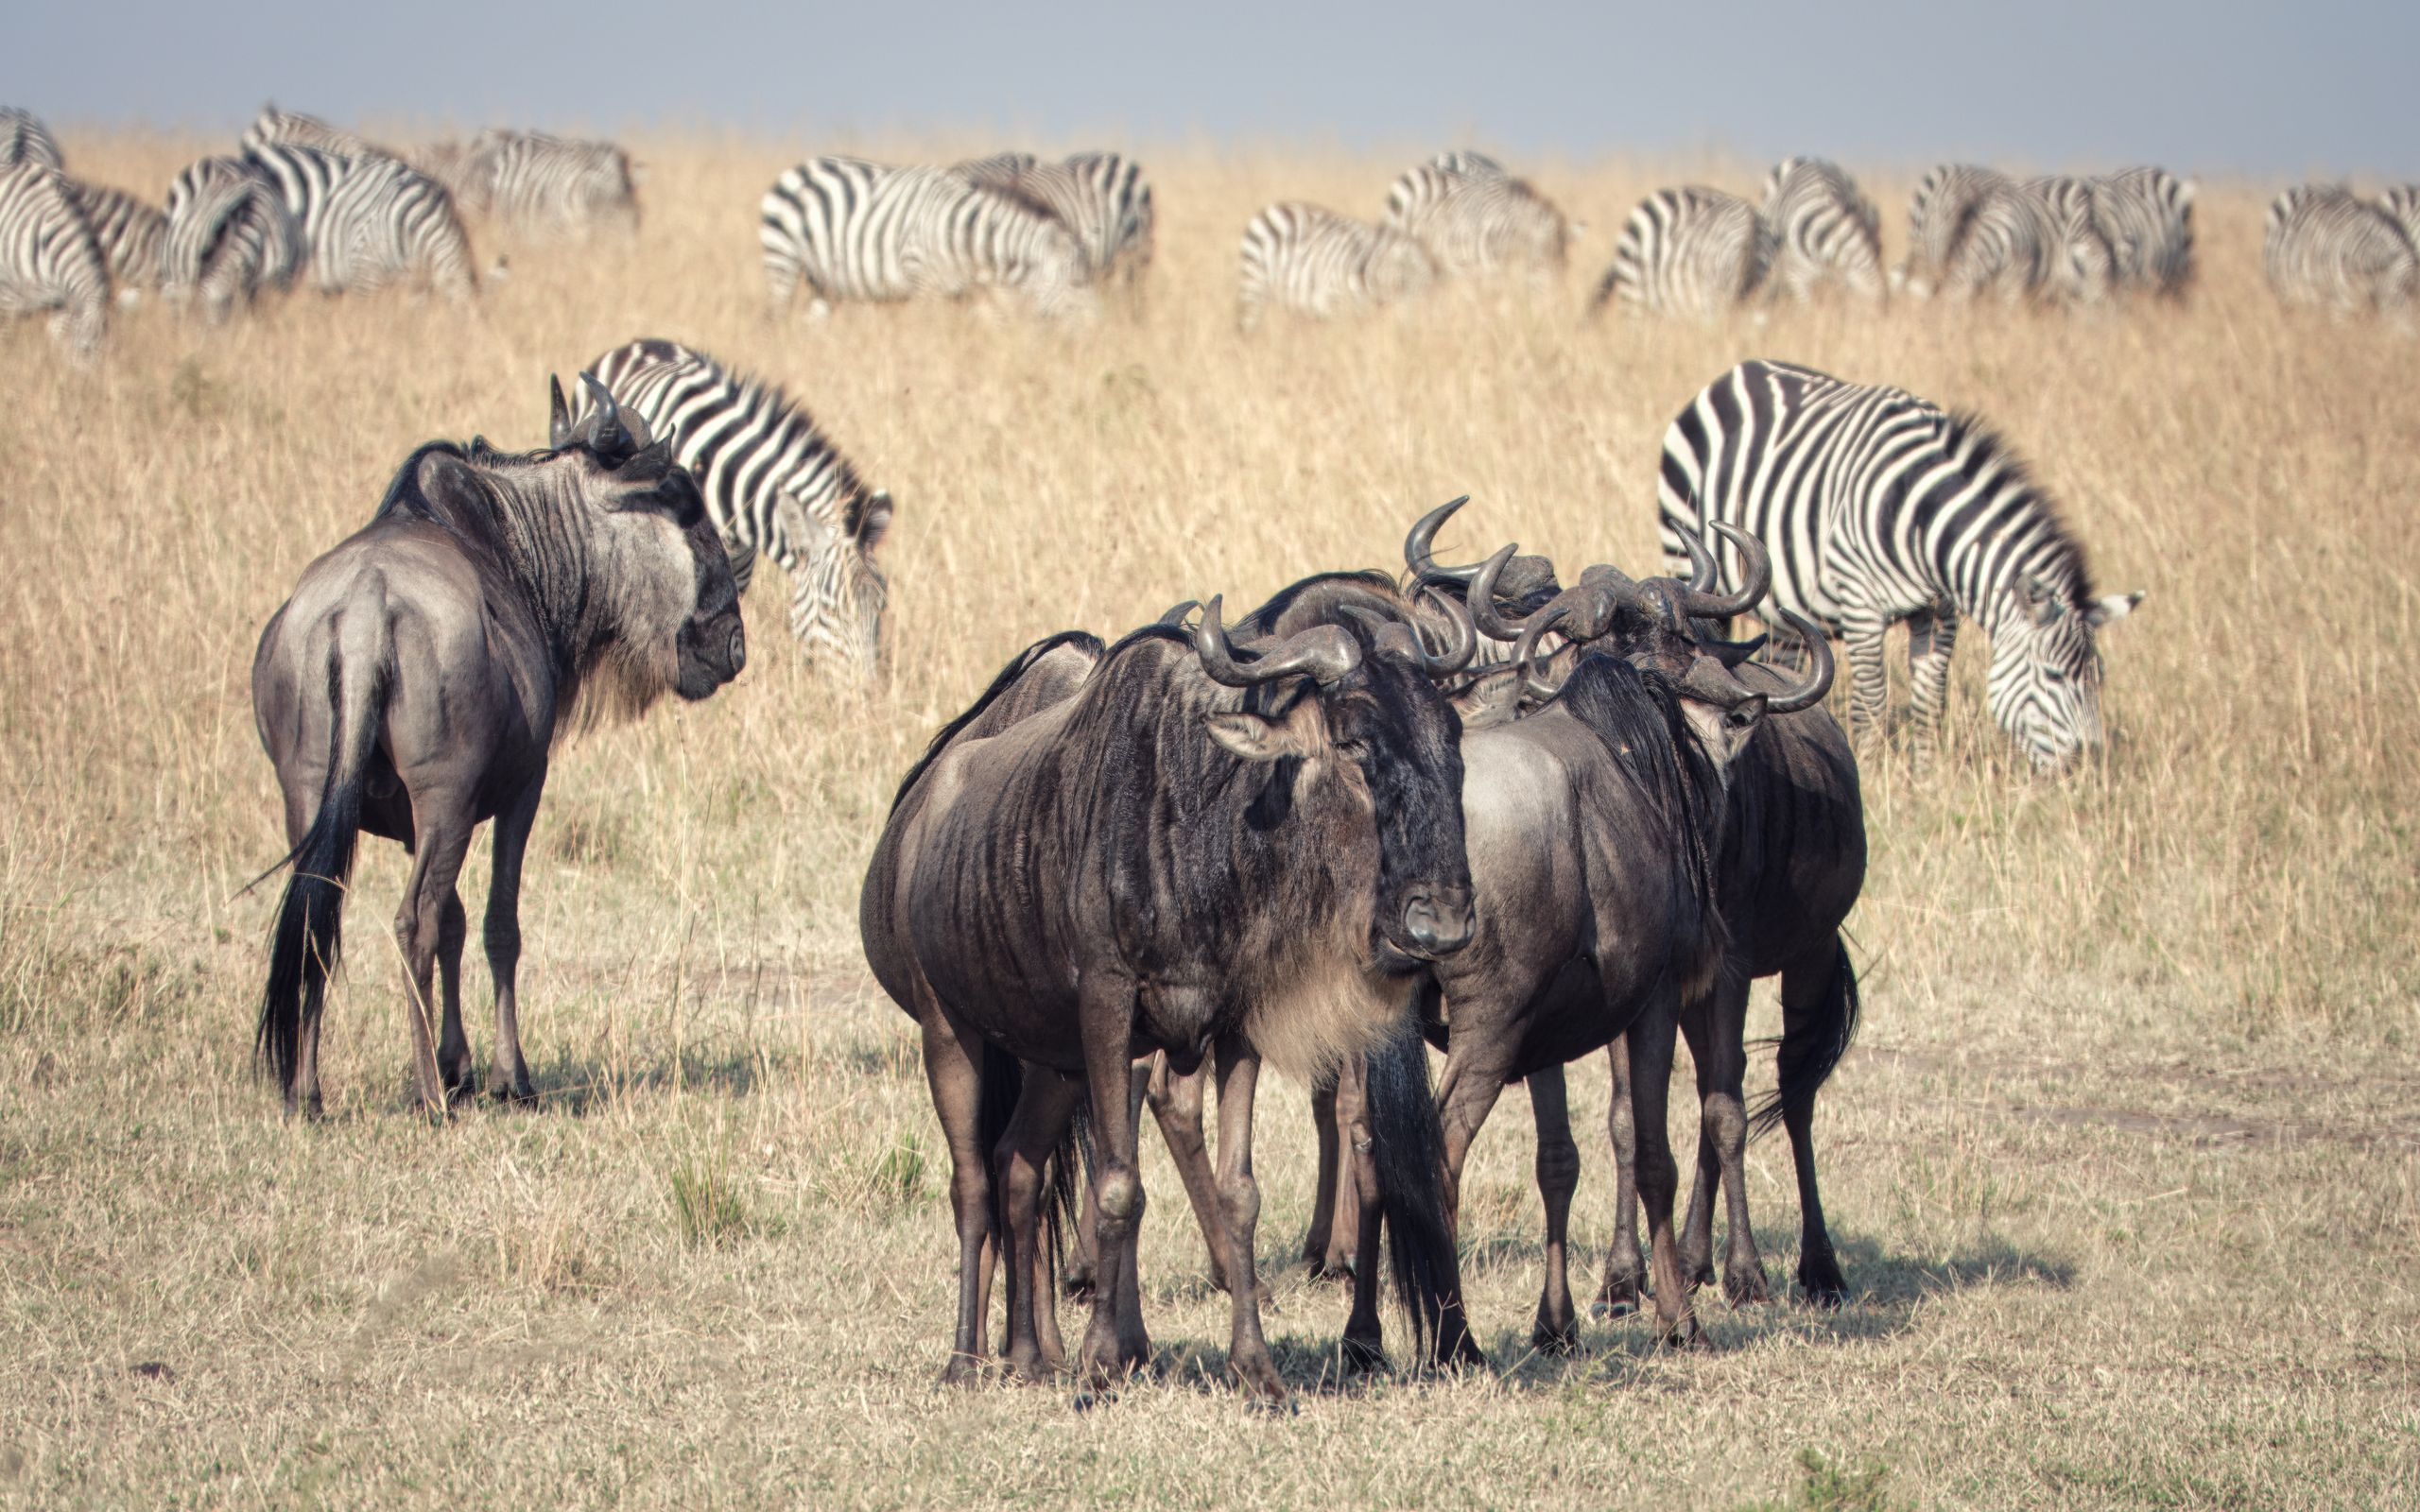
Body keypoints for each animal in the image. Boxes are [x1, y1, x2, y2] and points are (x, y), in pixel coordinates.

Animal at [0, 162, 108, 357]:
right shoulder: (7, 297)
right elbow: (6, 337)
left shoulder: (60, 301)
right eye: (85, 349)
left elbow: (56, 335)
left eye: (105, 351)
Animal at [759, 156, 1094, 319]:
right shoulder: (924, 287)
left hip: (824, 282)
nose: (1095, 337)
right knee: (775, 318)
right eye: (1077, 283)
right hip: (782, 260)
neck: (963, 236)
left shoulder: (970, 292)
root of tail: (800, 167)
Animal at [1235, 201, 1436, 331]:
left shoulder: (1361, 314)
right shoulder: (1335, 303)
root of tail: (1274, 207)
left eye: (1428, 288)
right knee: (1248, 325)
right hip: (1254, 285)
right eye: (1405, 282)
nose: (1418, 329)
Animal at [1658, 359, 2141, 771]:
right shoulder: (1862, 604)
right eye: (2055, 676)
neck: (1923, 522)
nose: (2090, 768)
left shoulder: (1940, 612)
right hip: (1683, 550)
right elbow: (1872, 699)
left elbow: (1930, 698)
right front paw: (1872, 768)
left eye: (2099, 679)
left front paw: (1925, 775)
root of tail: (1738, 370)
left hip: (1785, 617)